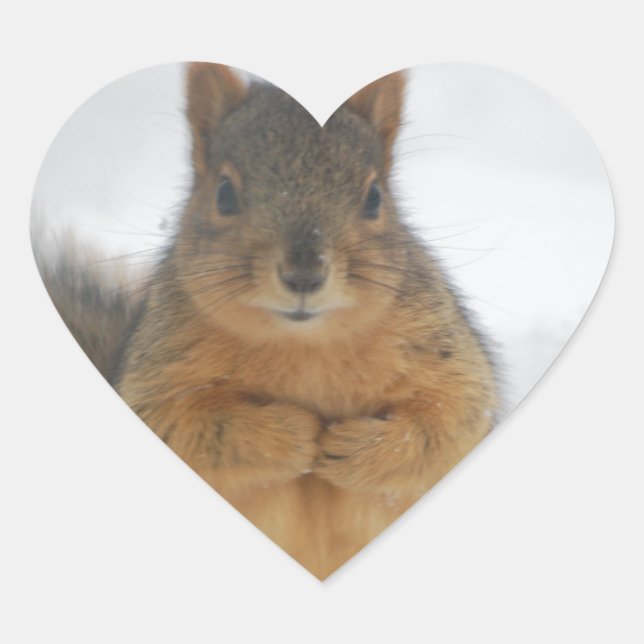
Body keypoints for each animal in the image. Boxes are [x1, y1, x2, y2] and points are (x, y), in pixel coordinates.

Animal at [36, 63, 498, 579]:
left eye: (375, 198)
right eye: (224, 194)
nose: (304, 273)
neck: (306, 346)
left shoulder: (444, 355)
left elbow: (450, 419)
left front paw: (351, 448)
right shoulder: (157, 374)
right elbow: (180, 423)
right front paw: (293, 436)